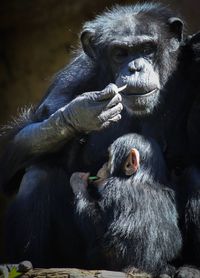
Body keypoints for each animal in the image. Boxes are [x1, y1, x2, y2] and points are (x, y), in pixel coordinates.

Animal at [70, 134, 181, 276]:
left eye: (108, 158)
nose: (102, 165)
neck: (141, 177)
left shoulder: (113, 189)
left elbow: (96, 226)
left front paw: (78, 181)